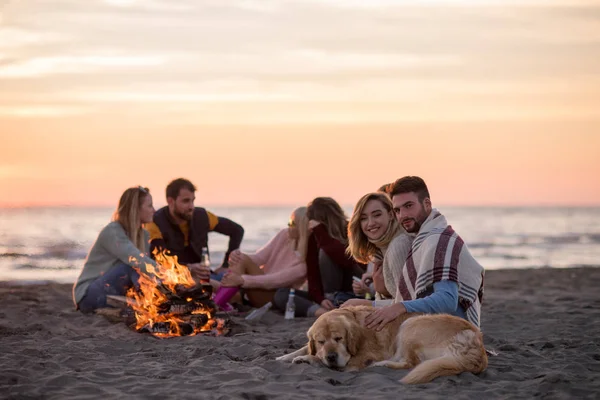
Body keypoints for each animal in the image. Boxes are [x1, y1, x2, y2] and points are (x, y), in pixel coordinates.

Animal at [276, 306, 488, 384]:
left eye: (339, 339)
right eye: (320, 341)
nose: (331, 356)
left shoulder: (359, 358)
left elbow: (320, 360)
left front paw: (307, 359)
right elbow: (305, 347)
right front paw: (284, 356)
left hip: (410, 325)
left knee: (411, 363)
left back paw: (381, 365)